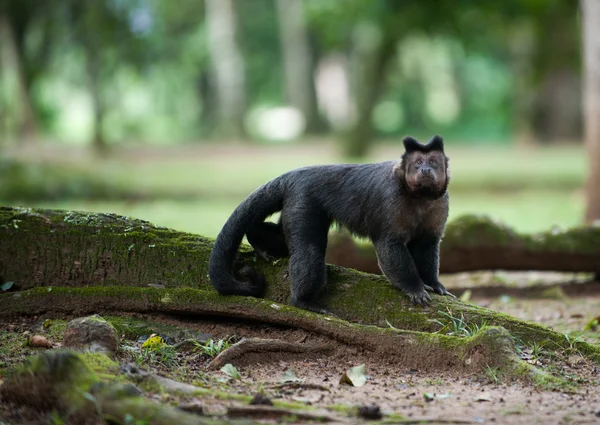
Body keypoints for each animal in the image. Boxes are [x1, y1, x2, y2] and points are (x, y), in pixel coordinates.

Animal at [209, 134, 452, 314]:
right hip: (304, 201)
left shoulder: (441, 203)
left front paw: (434, 284)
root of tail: (295, 175)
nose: (425, 170)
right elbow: (389, 245)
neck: (418, 196)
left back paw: (257, 240)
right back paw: (303, 301)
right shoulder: (391, 198)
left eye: (432, 162)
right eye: (418, 163)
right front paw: (414, 287)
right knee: (310, 249)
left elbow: (427, 245)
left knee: (281, 238)